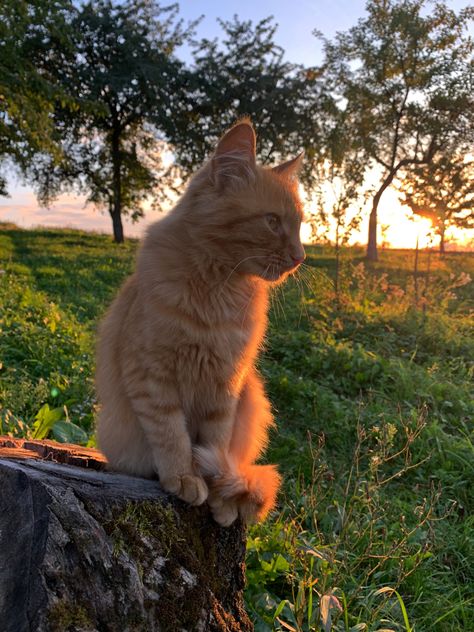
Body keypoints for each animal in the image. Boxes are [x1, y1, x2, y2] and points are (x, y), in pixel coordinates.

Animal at [96, 119, 306, 528]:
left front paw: (221, 498)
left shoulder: (226, 384)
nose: (300, 256)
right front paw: (183, 477)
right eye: (272, 222)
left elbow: (216, 446)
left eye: (299, 225)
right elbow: (171, 434)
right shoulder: (152, 374)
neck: (216, 291)